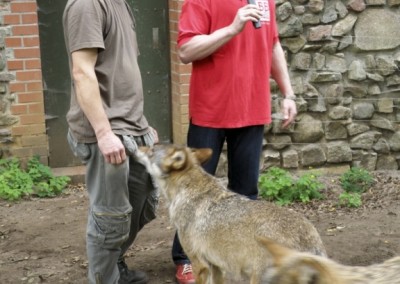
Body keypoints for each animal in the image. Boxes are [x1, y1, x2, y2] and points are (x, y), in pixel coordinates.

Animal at [133, 144, 326, 284]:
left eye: (151, 149)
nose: (136, 147)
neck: (188, 191)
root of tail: (309, 240)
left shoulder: (199, 264)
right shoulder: (216, 266)